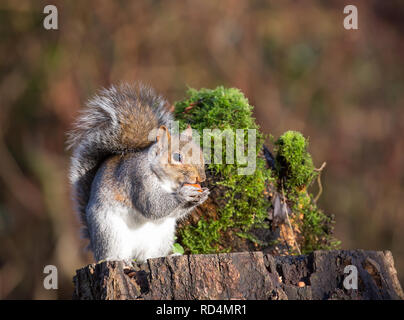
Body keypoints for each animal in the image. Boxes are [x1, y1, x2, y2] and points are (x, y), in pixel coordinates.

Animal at [67, 83, 208, 262]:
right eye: (177, 157)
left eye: (201, 154)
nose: (201, 178)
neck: (167, 182)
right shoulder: (138, 179)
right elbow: (152, 206)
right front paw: (184, 194)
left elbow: (171, 212)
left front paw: (203, 195)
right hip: (109, 232)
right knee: (112, 254)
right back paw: (118, 260)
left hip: (161, 237)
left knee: (147, 256)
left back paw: (169, 255)